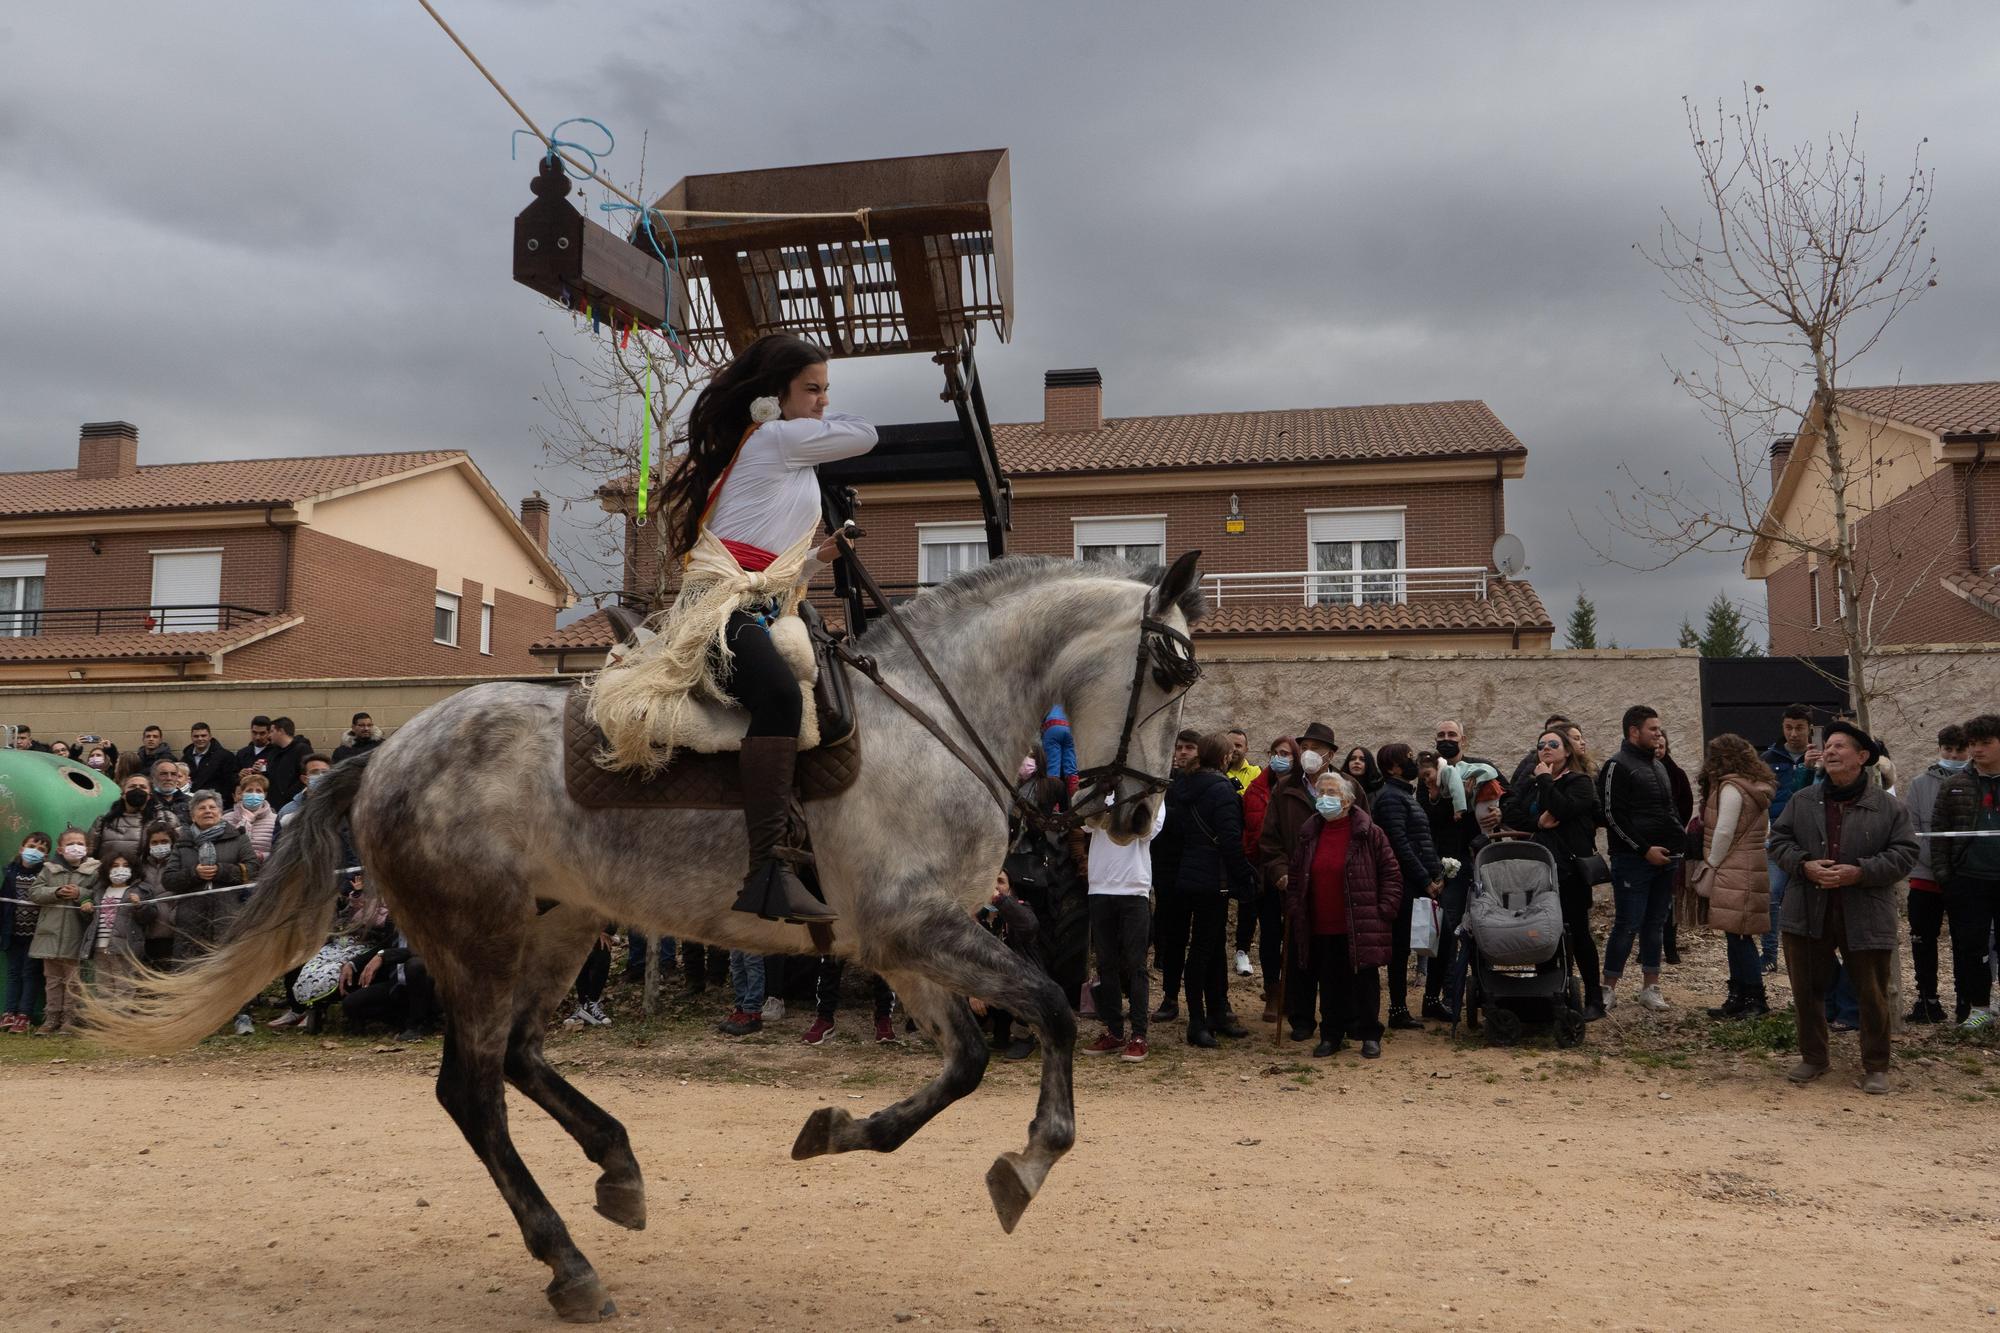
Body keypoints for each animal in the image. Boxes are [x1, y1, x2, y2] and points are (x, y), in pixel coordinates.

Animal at [90, 548, 1200, 1320]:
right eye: (1169, 666)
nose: (1140, 814)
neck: (933, 714)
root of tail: (390, 750)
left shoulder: (904, 940)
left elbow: (970, 1058)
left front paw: (842, 1129)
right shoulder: (913, 927)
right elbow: (1051, 1007)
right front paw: (1033, 1158)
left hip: (560, 924)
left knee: (521, 1057)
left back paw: (615, 1169)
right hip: (480, 936)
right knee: (474, 1090)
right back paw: (569, 1261)